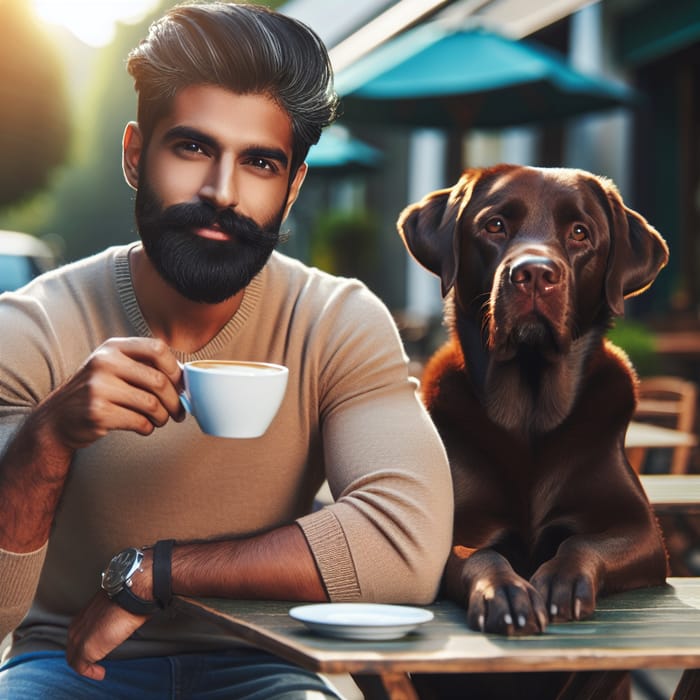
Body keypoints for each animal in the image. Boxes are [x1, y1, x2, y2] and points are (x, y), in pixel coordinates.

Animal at [400, 165, 668, 700]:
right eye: (495, 225)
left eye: (580, 232)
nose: (535, 273)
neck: (530, 417)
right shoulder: (446, 535)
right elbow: (480, 553)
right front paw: (506, 594)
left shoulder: (642, 531)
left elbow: (582, 544)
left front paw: (560, 583)